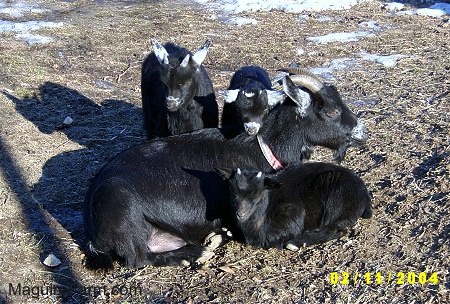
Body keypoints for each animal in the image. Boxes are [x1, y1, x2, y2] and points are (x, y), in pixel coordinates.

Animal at [215, 164, 372, 249]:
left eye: (257, 196)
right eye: (234, 194)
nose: (240, 214)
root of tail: (364, 195)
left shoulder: (292, 212)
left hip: (336, 201)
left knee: (337, 229)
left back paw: (297, 242)